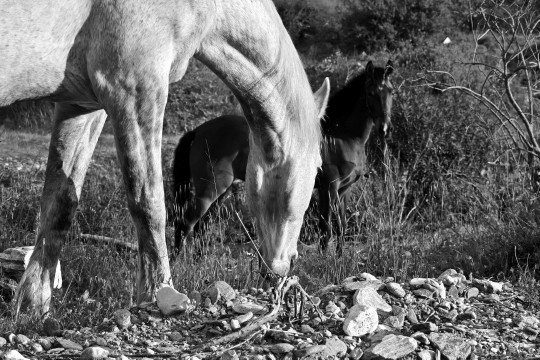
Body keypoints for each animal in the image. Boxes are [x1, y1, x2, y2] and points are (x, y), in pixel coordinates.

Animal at [2, 0, 330, 316]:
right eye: (317, 168)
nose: (287, 264)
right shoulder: (135, 86)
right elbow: (149, 205)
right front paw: (158, 295)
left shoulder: (80, 104)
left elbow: (60, 204)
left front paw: (33, 305)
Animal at [173, 60, 392, 253]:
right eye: (371, 93)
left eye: (391, 92)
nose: (384, 128)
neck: (341, 137)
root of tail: (198, 131)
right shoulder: (329, 188)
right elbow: (326, 228)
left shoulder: (344, 189)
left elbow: (341, 226)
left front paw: (339, 258)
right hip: (210, 190)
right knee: (185, 223)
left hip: (221, 192)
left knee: (201, 226)